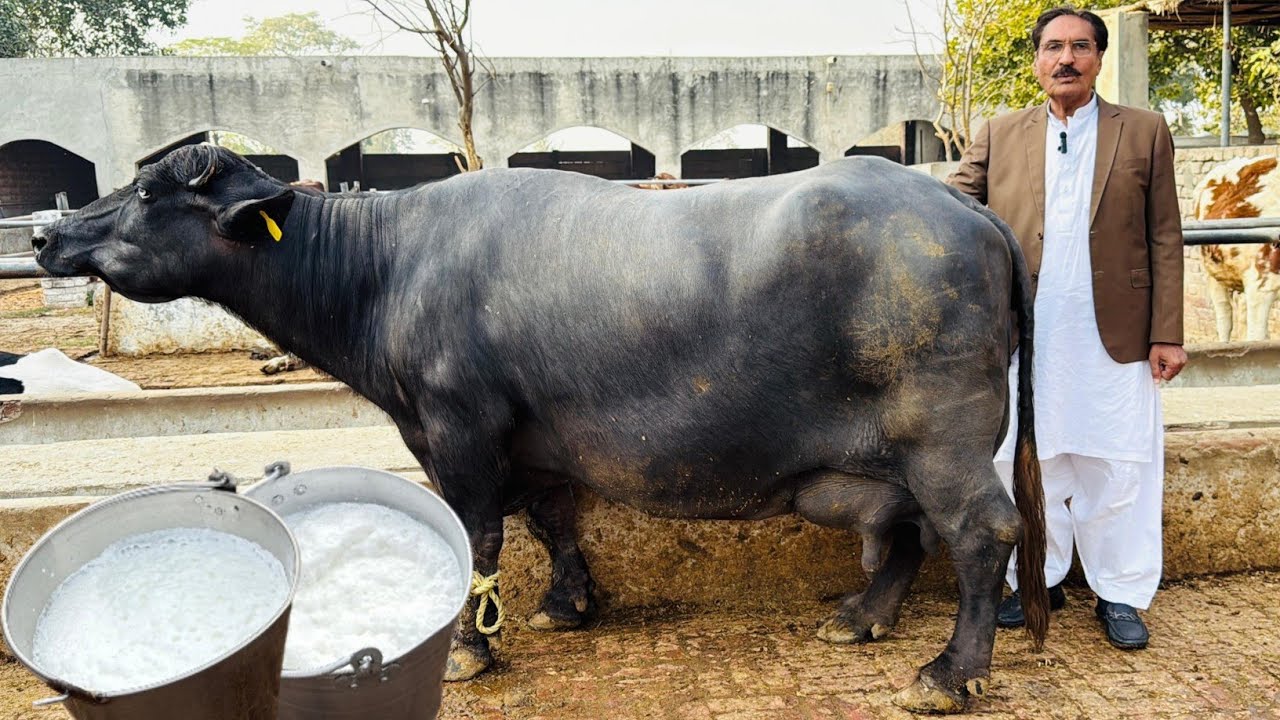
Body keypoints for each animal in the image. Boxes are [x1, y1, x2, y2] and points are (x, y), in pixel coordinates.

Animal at [34, 144, 1046, 713]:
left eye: (147, 194)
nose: (44, 237)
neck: (383, 269)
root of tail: (963, 207)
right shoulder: (538, 442)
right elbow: (552, 520)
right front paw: (568, 603)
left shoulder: (456, 431)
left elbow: (479, 535)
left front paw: (470, 649)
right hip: (894, 455)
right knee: (910, 531)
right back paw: (862, 619)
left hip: (944, 436)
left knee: (981, 530)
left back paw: (948, 674)